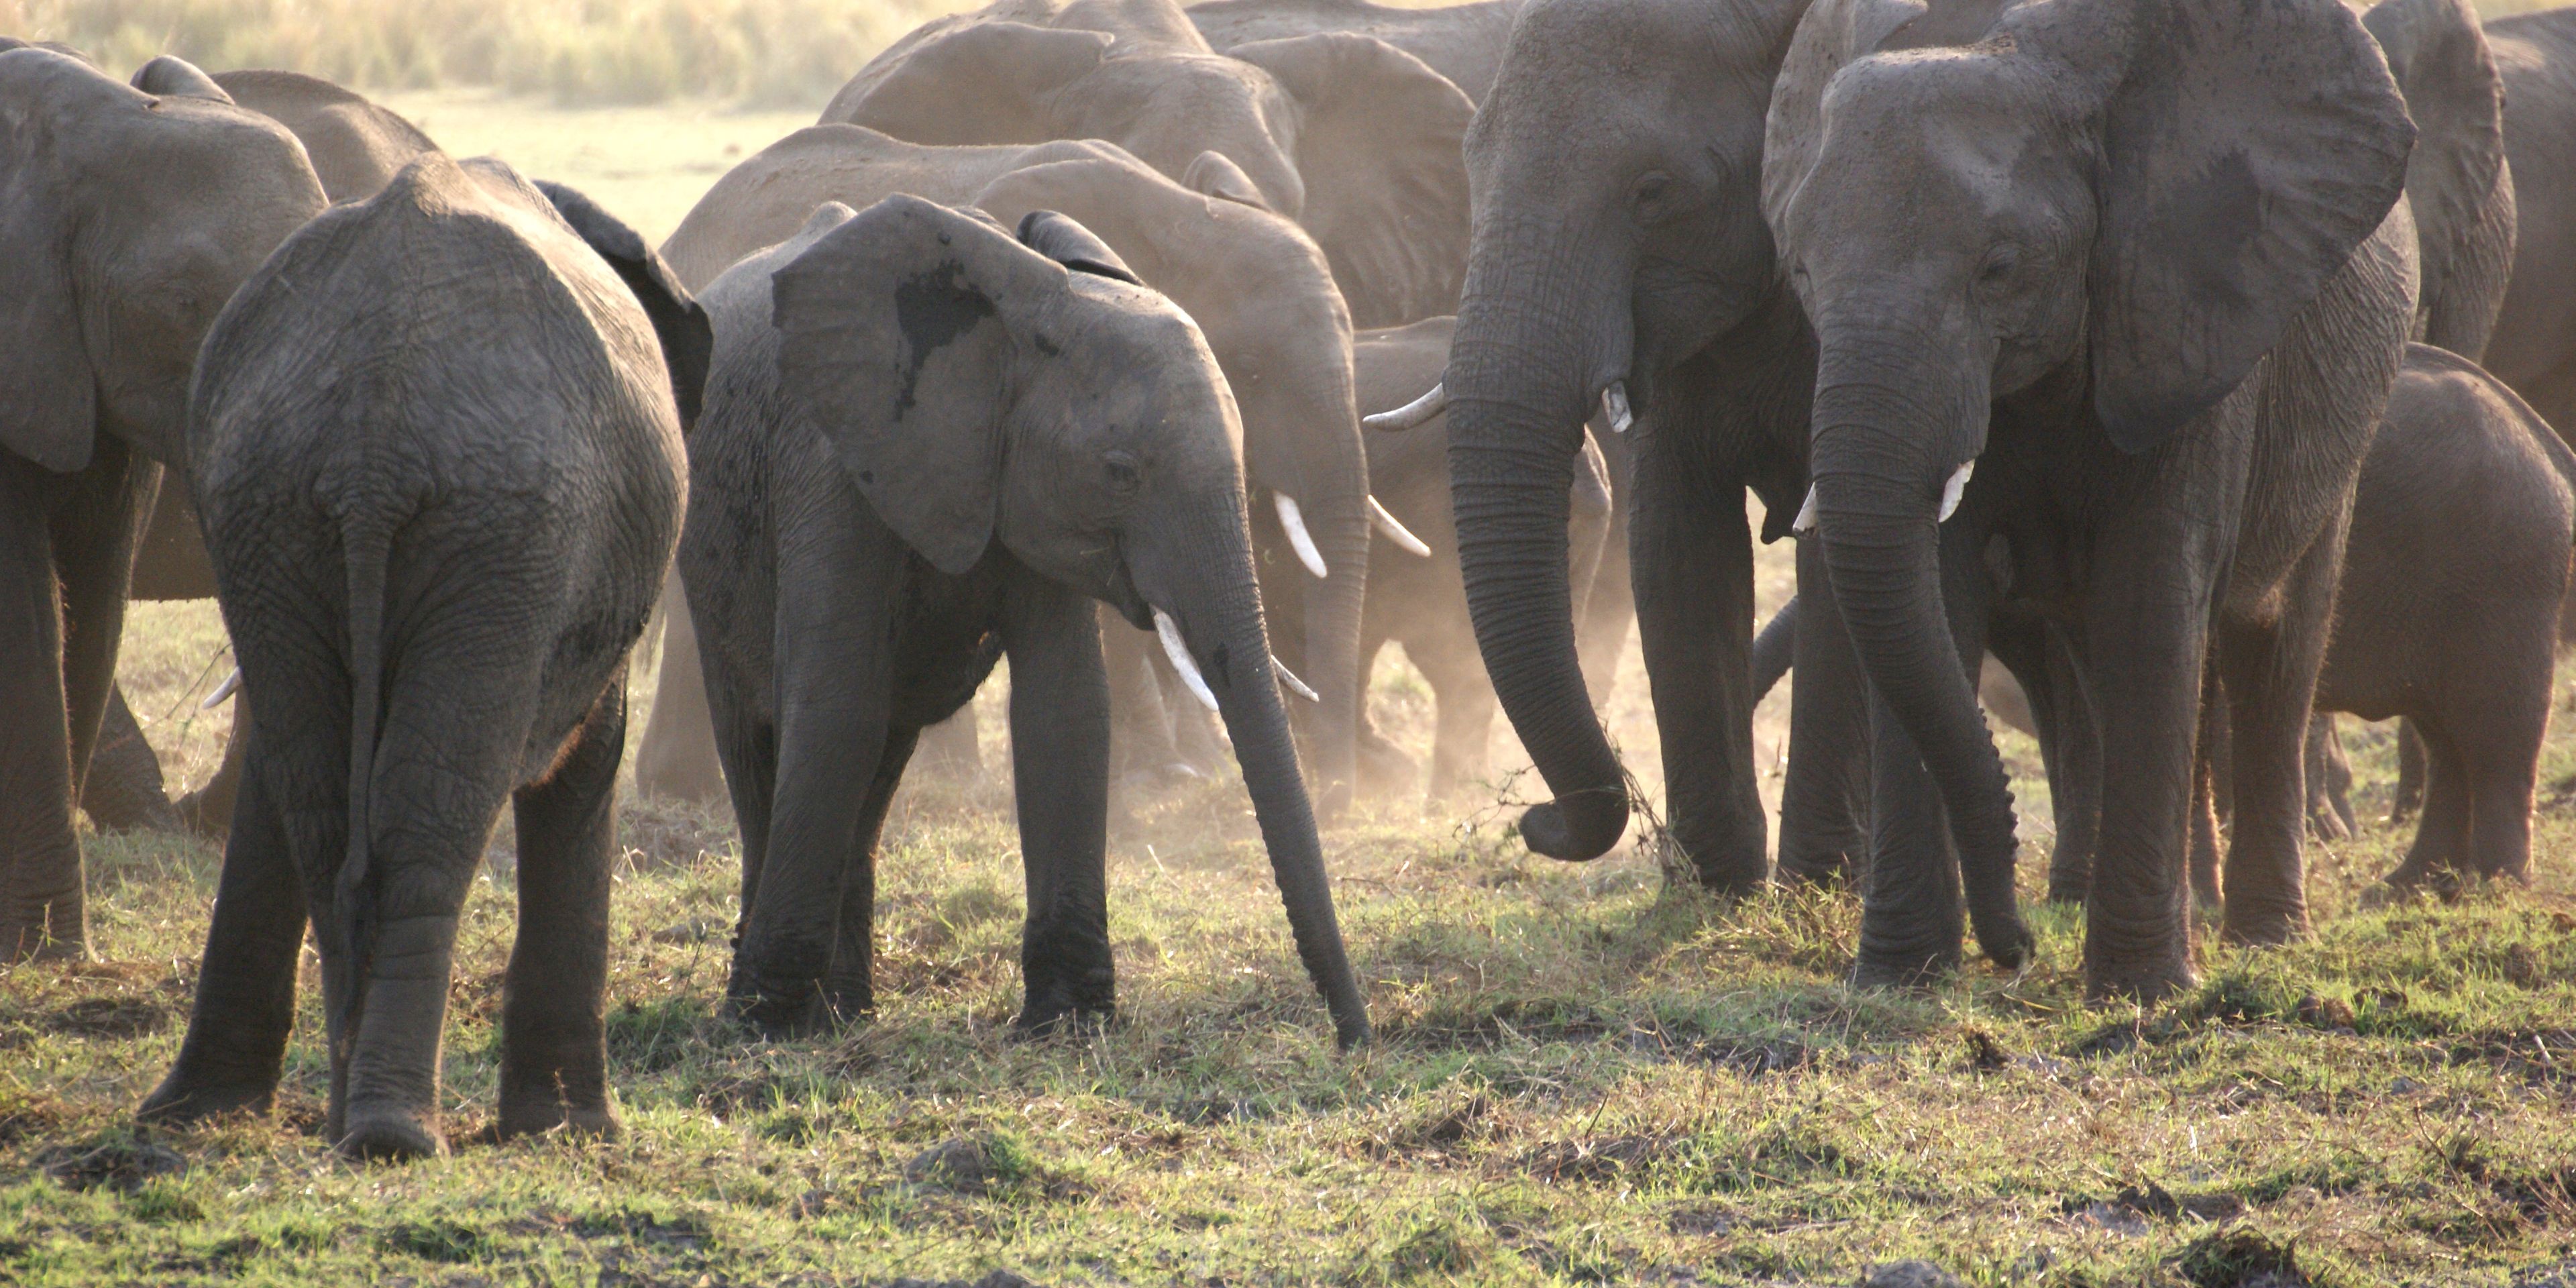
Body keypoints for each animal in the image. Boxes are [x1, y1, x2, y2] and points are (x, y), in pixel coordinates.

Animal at [140, 157, 706, 1162]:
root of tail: (375, 434)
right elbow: (587, 757)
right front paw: (572, 1133)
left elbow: (278, 783)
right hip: (507, 530)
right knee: (429, 811)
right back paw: (396, 1137)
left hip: (270, 510)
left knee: (326, 811)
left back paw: (339, 1122)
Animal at [675, 194, 1371, 1046]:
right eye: (1120, 472)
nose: (1354, 1037)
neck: (1007, 326)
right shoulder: (833, 459)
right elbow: (836, 699)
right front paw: (766, 1028)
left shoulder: (1028, 488)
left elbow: (1064, 705)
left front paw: (1066, 1022)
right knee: (759, 738)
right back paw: (783, 1010)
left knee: (880, 756)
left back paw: (846, 1008)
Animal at [1763, 0, 2419, 994]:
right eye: (1800, 272)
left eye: (1999, 268)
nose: (2013, 950)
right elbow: (1939, 593)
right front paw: (1899, 978)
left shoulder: (2184, 307)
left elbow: (2151, 598)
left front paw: (2142, 991)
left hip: (2341, 422)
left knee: (2273, 648)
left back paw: (2261, 937)